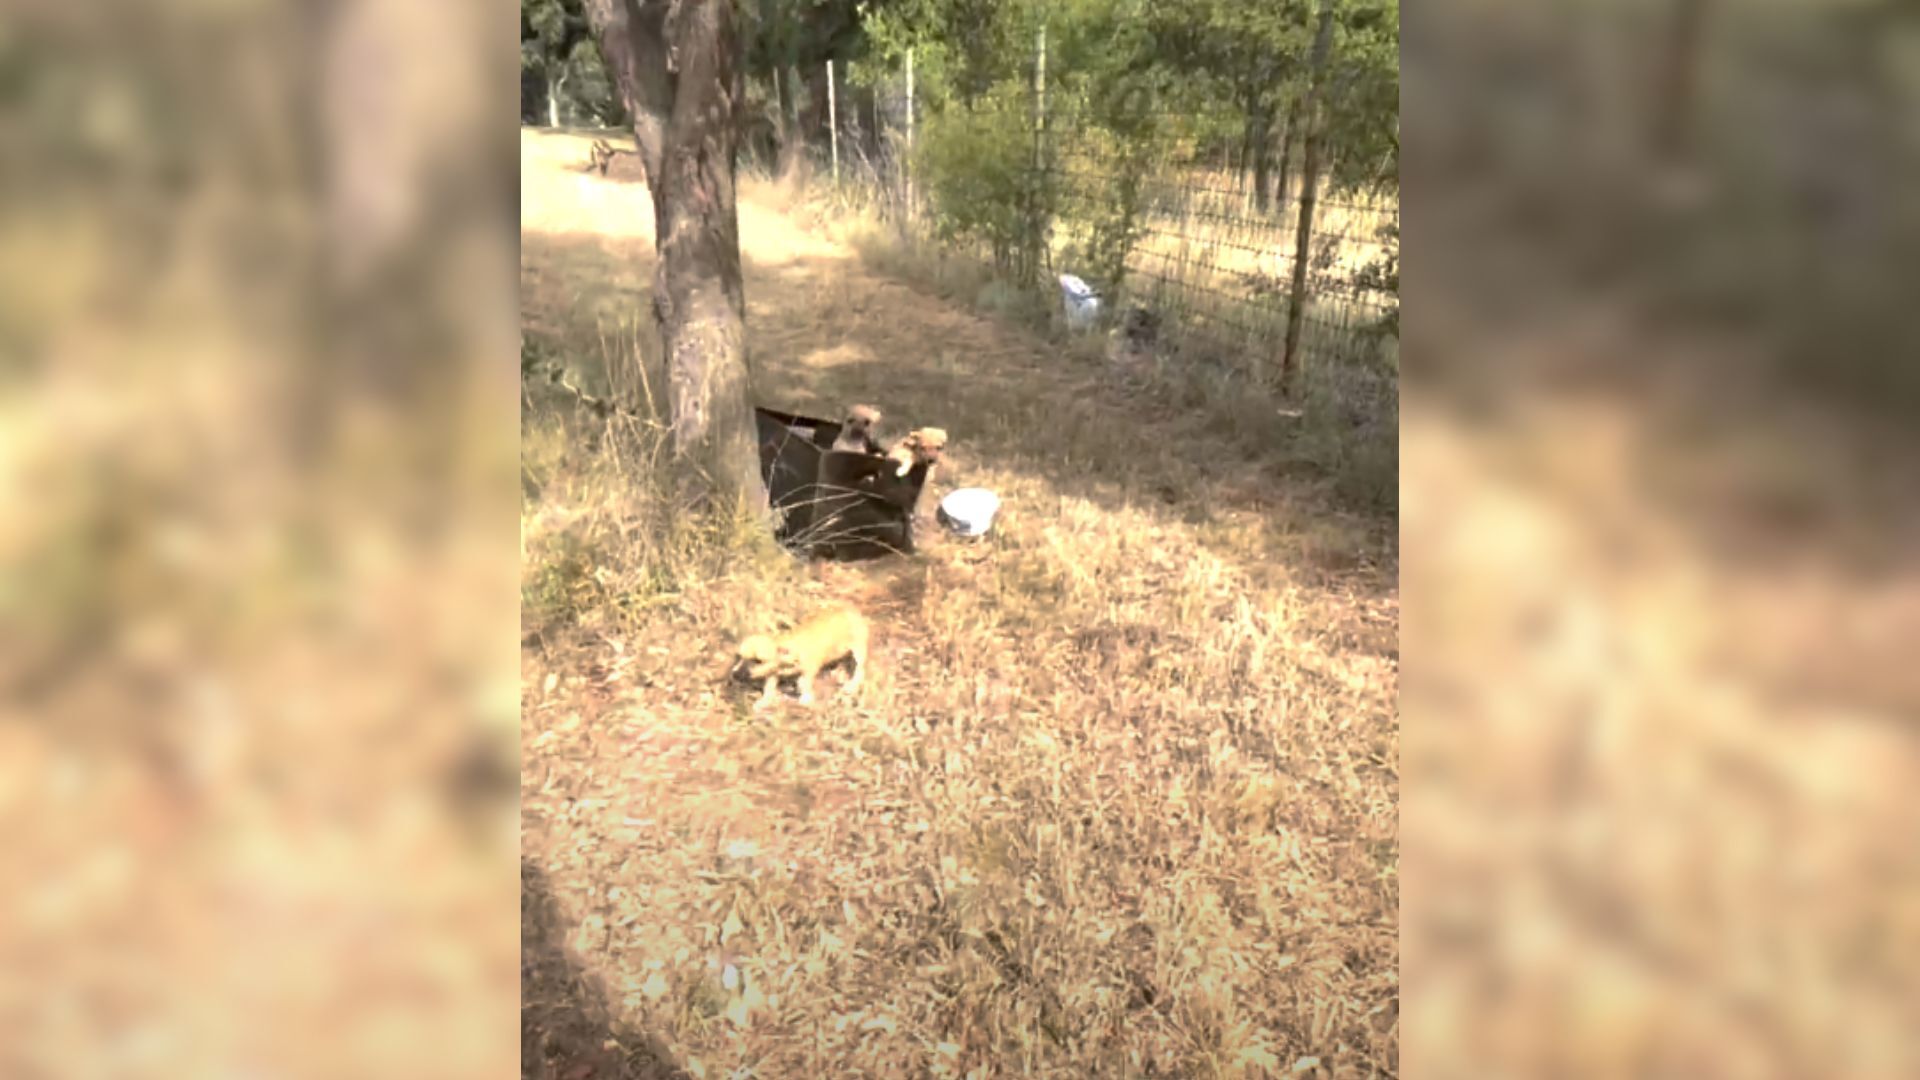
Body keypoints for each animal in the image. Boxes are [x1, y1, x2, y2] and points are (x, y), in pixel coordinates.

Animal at [733, 595, 871, 707]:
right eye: (739, 656)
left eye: (757, 660)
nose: (734, 674)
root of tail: (850, 608)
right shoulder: (772, 673)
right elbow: (769, 688)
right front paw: (764, 701)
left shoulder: (809, 670)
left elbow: (804, 684)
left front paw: (805, 699)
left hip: (858, 650)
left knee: (860, 670)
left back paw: (851, 686)